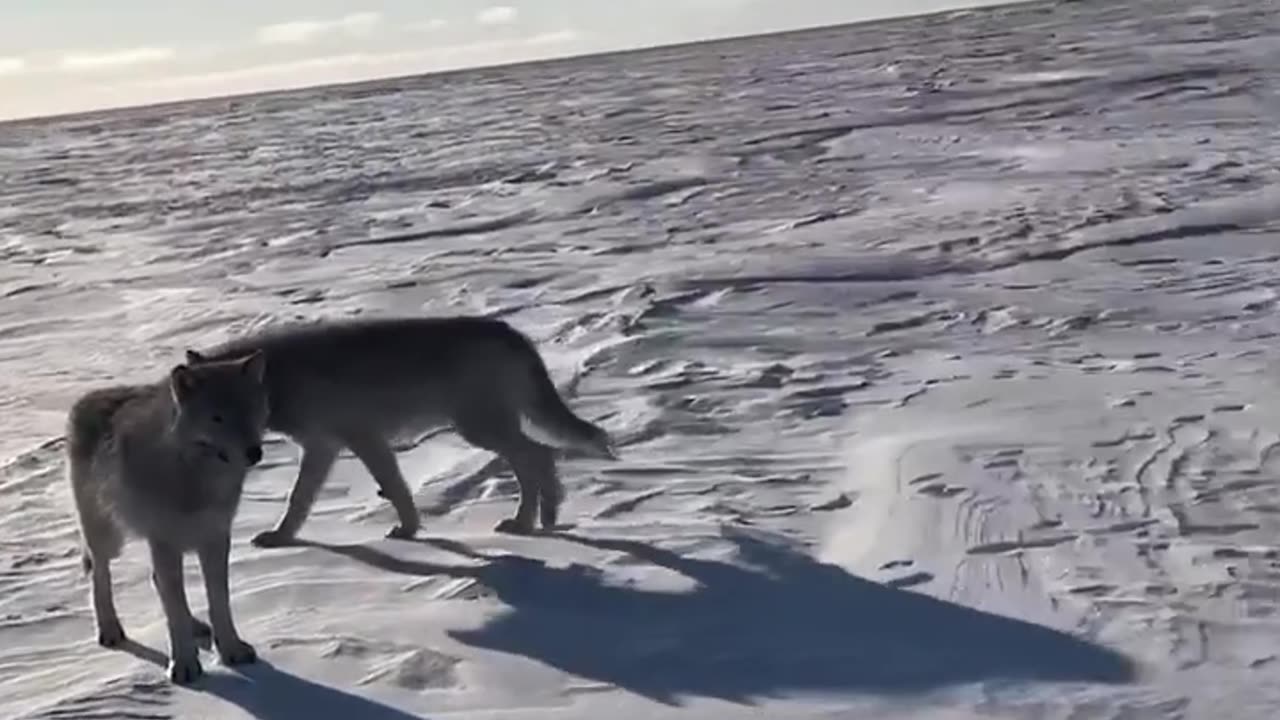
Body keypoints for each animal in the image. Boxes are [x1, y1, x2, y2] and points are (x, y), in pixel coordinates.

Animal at [68, 351, 270, 681]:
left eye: (250, 410)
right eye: (217, 418)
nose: (255, 453)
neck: (193, 478)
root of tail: (89, 397)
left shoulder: (215, 538)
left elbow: (218, 602)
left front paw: (231, 650)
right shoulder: (164, 541)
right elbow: (173, 610)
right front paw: (185, 665)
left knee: (156, 581)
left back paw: (196, 626)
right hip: (110, 538)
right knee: (100, 576)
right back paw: (110, 630)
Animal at [183, 313, 616, 543]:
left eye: (238, 412)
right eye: (214, 416)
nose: (250, 454)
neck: (281, 378)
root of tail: (509, 330)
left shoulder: (359, 438)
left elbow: (392, 487)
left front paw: (408, 531)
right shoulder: (325, 447)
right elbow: (300, 500)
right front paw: (282, 537)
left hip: (479, 429)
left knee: (537, 456)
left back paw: (527, 522)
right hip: (484, 429)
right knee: (541, 457)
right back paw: (547, 518)